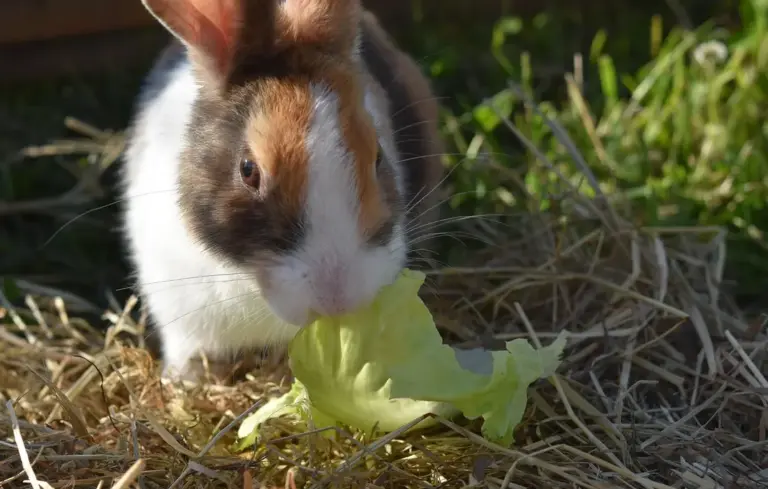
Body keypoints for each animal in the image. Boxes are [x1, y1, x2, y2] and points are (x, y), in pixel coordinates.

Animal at [121, 0, 446, 381]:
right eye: (248, 170)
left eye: (378, 156)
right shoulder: (178, 311)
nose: (338, 300)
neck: (248, 284)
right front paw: (182, 380)